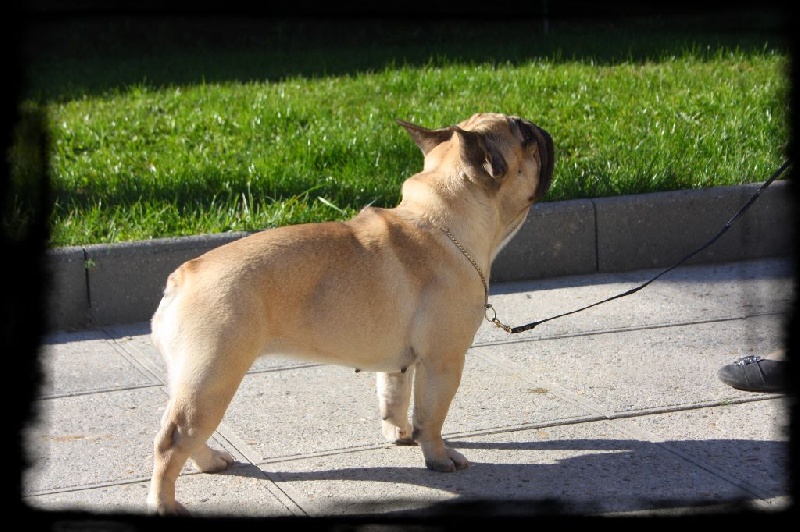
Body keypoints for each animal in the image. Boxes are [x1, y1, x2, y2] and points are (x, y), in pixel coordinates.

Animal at [147, 113, 554, 514]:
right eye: (525, 136)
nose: (540, 128)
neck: (441, 221)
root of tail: (183, 277)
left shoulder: (402, 363)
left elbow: (394, 398)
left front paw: (399, 434)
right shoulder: (443, 362)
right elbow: (431, 417)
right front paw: (438, 457)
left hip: (194, 379)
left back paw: (211, 461)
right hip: (213, 375)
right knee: (172, 439)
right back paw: (166, 503)